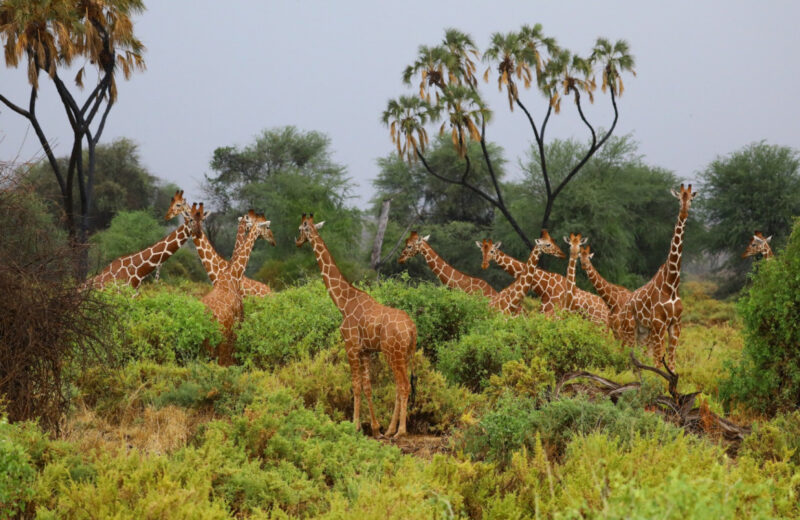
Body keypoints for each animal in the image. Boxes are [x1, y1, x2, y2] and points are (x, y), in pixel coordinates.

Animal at [296, 213, 416, 436]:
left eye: (301, 229)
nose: (297, 241)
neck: (343, 303)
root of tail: (413, 329)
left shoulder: (350, 346)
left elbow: (355, 384)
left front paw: (355, 425)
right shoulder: (365, 351)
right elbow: (368, 386)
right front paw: (376, 428)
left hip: (394, 353)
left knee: (404, 386)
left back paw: (401, 431)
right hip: (405, 354)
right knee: (400, 386)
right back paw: (390, 430)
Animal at [620, 183, 692, 370]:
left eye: (691, 199)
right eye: (679, 198)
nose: (684, 213)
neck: (671, 284)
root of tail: (624, 306)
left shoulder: (675, 325)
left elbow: (671, 362)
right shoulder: (659, 324)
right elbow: (659, 360)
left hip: (643, 332)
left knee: (638, 356)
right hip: (629, 328)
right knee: (625, 353)